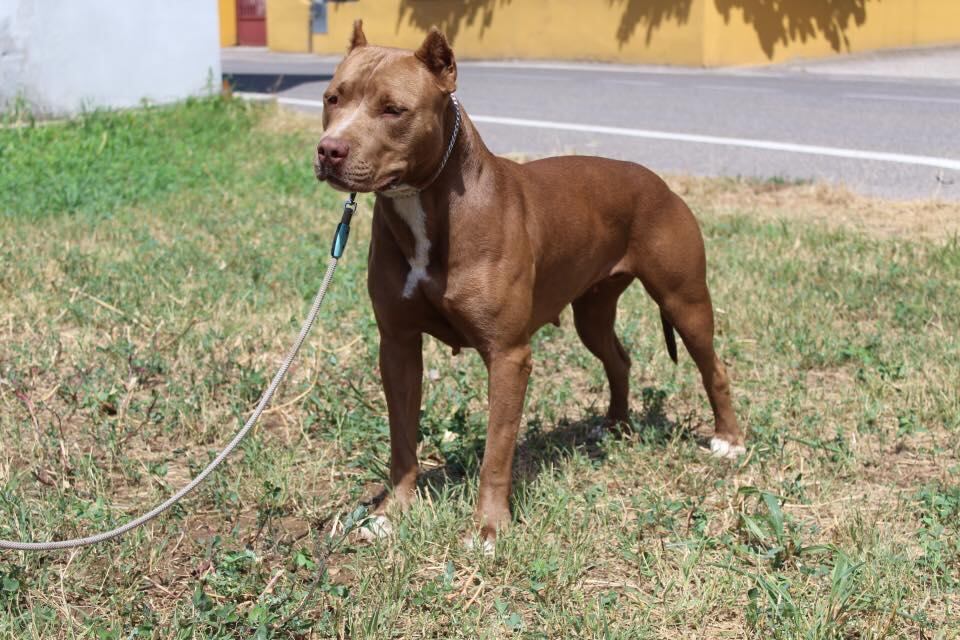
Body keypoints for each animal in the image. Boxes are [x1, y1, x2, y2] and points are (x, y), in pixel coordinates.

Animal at [316, 21, 744, 552]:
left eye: (393, 109)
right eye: (333, 98)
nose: (329, 149)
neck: (427, 202)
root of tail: (660, 182)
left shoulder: (508, 356)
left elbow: (497, 453)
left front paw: (488, 528)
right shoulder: (397, 345)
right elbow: (402, 437)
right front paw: (392, 512)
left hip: (685, 301)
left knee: (713, 366)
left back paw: (728, 441)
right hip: (592, 311)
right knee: (618, 358)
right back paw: (615, 426)